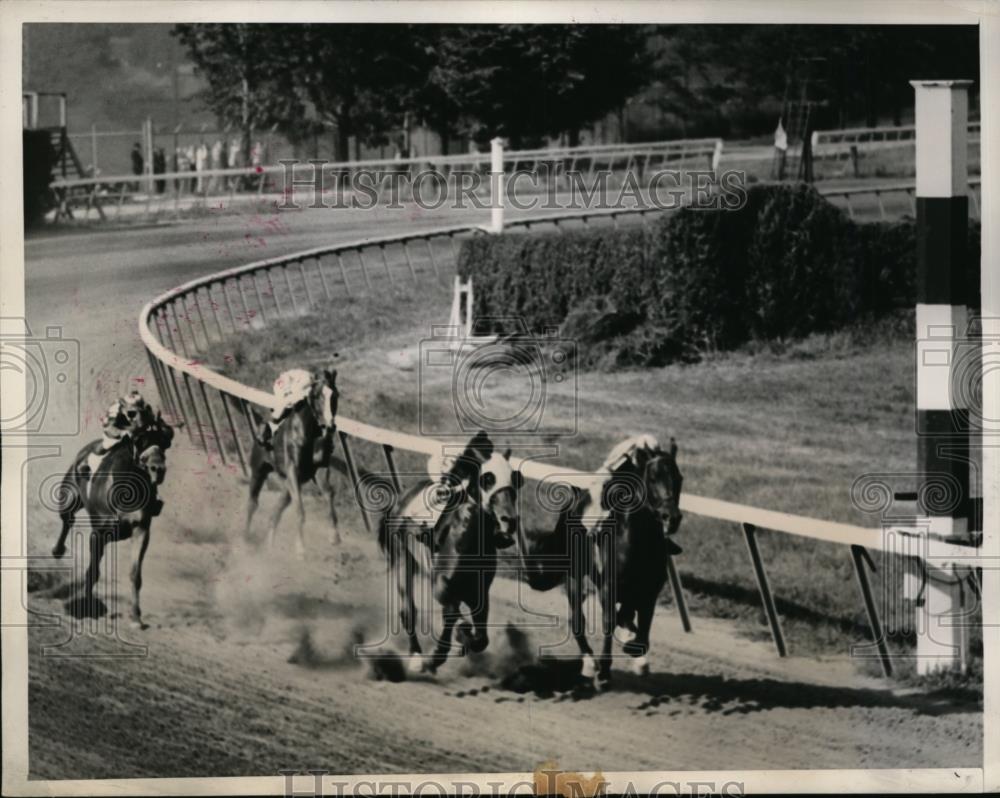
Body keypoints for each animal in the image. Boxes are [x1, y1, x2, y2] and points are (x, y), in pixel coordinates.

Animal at [50, 412, 175, 632]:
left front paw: (136, 618)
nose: (157, 469)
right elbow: (93, 571)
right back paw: (58, 550)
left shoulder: (141, 530)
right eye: (140, 441)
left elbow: (135, 574)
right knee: (67, 520)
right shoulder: (98, 533)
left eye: (164, 443)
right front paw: (87, 608)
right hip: (70, 496)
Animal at [245, 368, 340, 556]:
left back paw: (269, 548)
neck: (308, 432)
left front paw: (334, 536)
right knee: (252, 503)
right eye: (317, 396)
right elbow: (300, 510)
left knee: (276, 511)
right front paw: (300, 548)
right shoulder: (292, 471)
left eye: (336, 395)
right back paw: (243, 539)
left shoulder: (318, 470)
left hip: (287, 484)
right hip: (259, 470)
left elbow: (329, 494)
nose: (330, 426)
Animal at [378, 432, 528, 676]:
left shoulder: (479, 592)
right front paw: (438, 654)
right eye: (487, 478)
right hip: (403, 560)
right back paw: (416, 657)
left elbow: (481, 638)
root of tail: (403, 498)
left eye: (516, 479)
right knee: (408, 611)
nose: (509, 520)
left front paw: (462, 638)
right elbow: (452, 613)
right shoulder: (441, 586)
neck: (469, 543)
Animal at [512, 438, 684, 688]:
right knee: (577, 621)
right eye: (653, 477)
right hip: (574, 577)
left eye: (679, 478)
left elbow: (641, 623)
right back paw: (589, 663)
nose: (671, 517)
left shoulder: (649, 590)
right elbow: (610, 621)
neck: (637, 539)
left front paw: (636, 652)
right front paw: (604, 671)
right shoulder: (608, 587)